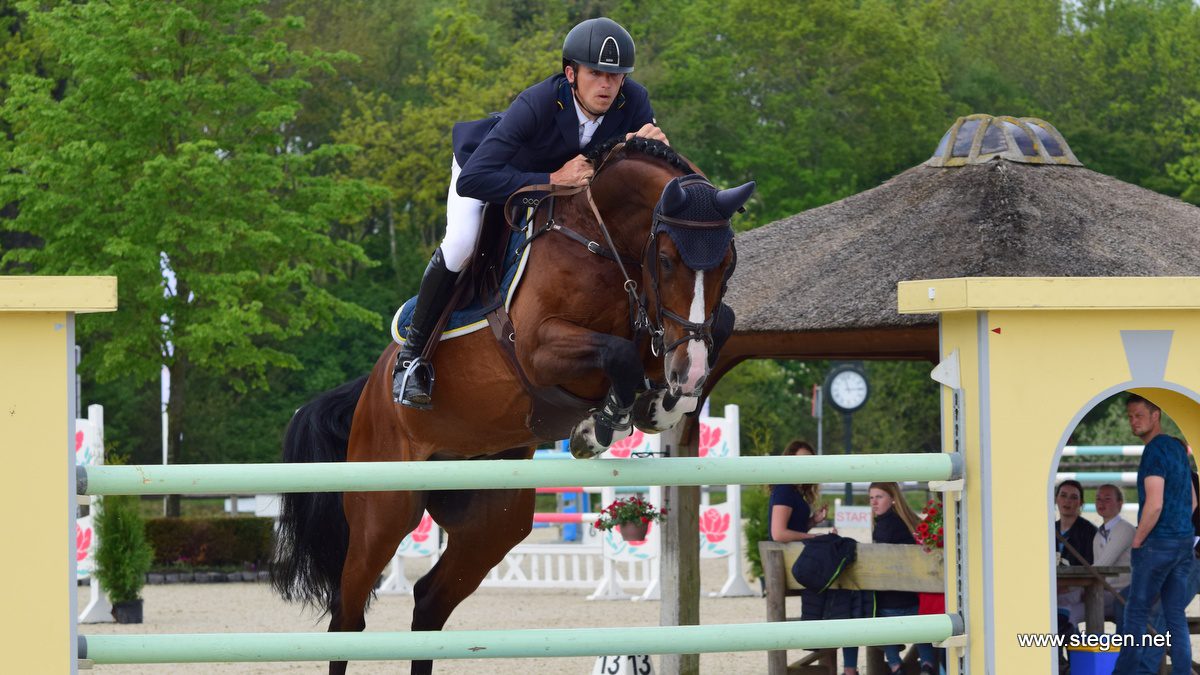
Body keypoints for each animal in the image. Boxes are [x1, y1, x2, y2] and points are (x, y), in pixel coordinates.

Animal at [276, 138, 753, 672]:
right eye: (667, 260)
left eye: (729, 263)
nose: (689, 371)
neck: (602, 241)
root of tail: (368, 392)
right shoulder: (539, 349)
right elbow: (620, 354)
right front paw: (598, 428)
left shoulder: (660, 333)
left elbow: (714, 326)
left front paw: (658, 405)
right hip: (383, 510)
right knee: (348, 615)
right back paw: (411, 374)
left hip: (492, 519)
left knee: (429, 602)